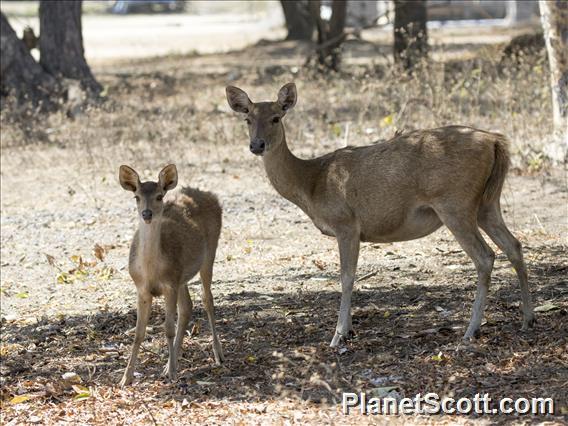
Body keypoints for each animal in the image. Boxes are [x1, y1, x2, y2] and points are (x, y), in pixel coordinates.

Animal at [118, 163, 223, 386]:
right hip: (182, 276)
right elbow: (138, 332)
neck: (152, 272)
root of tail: (209, 194)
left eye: (159, 196)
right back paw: (168, 364)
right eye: (136, 197)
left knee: (207, 299)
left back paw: (218, 354)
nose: (146, 214)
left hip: (210, 252)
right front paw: (125, 378)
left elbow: (168, 329)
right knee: (187, 307)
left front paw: (173, 373)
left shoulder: (170, 284)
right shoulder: (142, 288)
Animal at [224, 82, 536, 346]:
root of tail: (495, 141)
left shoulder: (346, 223)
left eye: (277, 117)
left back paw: (471, 330)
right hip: (487, 203)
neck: (312, 183)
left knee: (485, 256)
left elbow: (346, 276)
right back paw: (528, 319)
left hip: (454, 202)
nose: (257, 145)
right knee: (514, 245)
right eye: (247, 119)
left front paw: (339, 335)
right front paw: (348, 330)